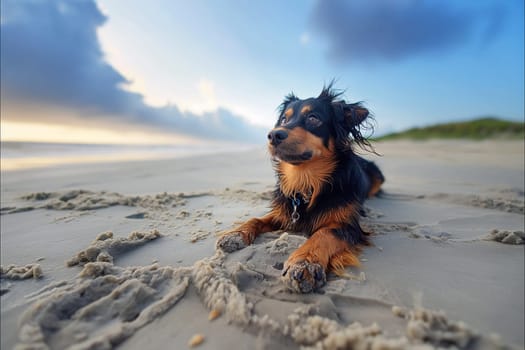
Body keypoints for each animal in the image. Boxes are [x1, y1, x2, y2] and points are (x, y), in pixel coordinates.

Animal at [215, 84, 382, 292]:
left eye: (313, 118)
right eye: (284, 119)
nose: (273, 135)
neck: (306, 182)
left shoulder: (348, 225)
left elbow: (323, 233)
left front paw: (304, 263)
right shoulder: (285, 211)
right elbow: (257, 219)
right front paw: (236, 234)